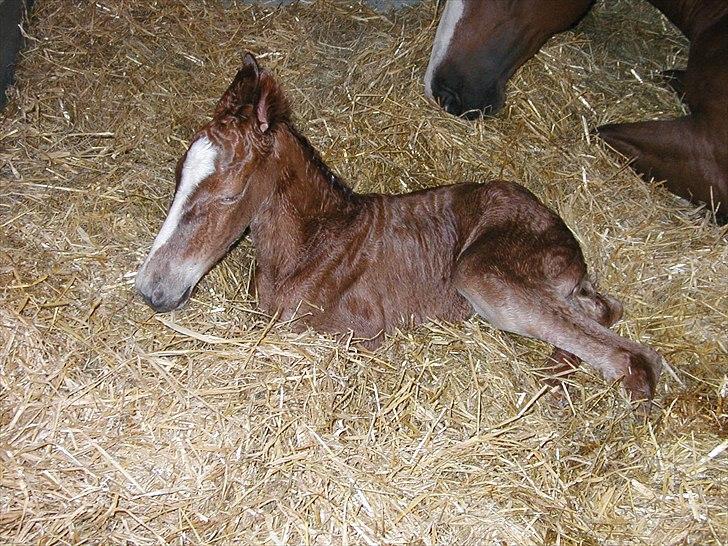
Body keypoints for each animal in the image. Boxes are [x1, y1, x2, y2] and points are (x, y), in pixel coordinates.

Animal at [134, 53, 664, 406]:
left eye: (228, 196)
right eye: (178, 178)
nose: (151, 289)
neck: (314, 244)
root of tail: (566, 240)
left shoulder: (361, 333)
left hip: (482, 273)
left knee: (635, 358)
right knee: (604, 308)